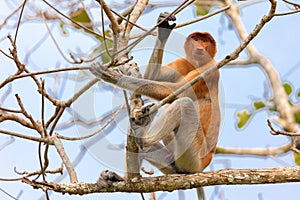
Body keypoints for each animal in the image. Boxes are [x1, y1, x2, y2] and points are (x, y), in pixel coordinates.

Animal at [90, 12, 219, 200]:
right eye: (196, 39)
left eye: (205, 41)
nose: (200, 47)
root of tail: (202, 167)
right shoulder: (183, 63)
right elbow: (153, 76)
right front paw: (163, 28)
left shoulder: (210, 70)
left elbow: (176, 92)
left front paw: (111, 75)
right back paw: (123, 177)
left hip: (192, 157)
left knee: (184, 105)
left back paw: (143, 138)